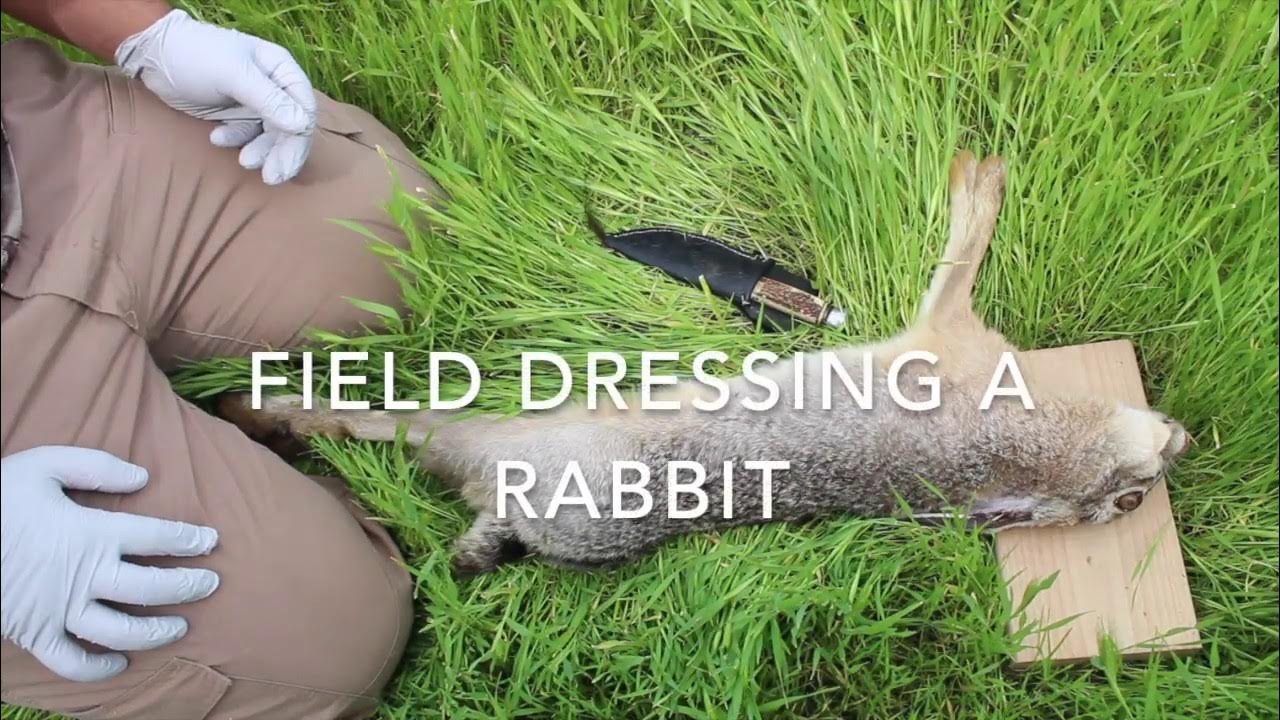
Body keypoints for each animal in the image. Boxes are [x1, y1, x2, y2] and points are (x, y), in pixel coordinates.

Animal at [220, 150, 1189, 577]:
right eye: (1133, 500)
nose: (1180, 440)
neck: (1033, 451)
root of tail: (509, 504)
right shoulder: (946, 335)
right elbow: (964, 248)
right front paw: (981, 174)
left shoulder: (949, 338)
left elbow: (960, 252)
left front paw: (975, 177)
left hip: (508, 430)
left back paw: (259, 411)